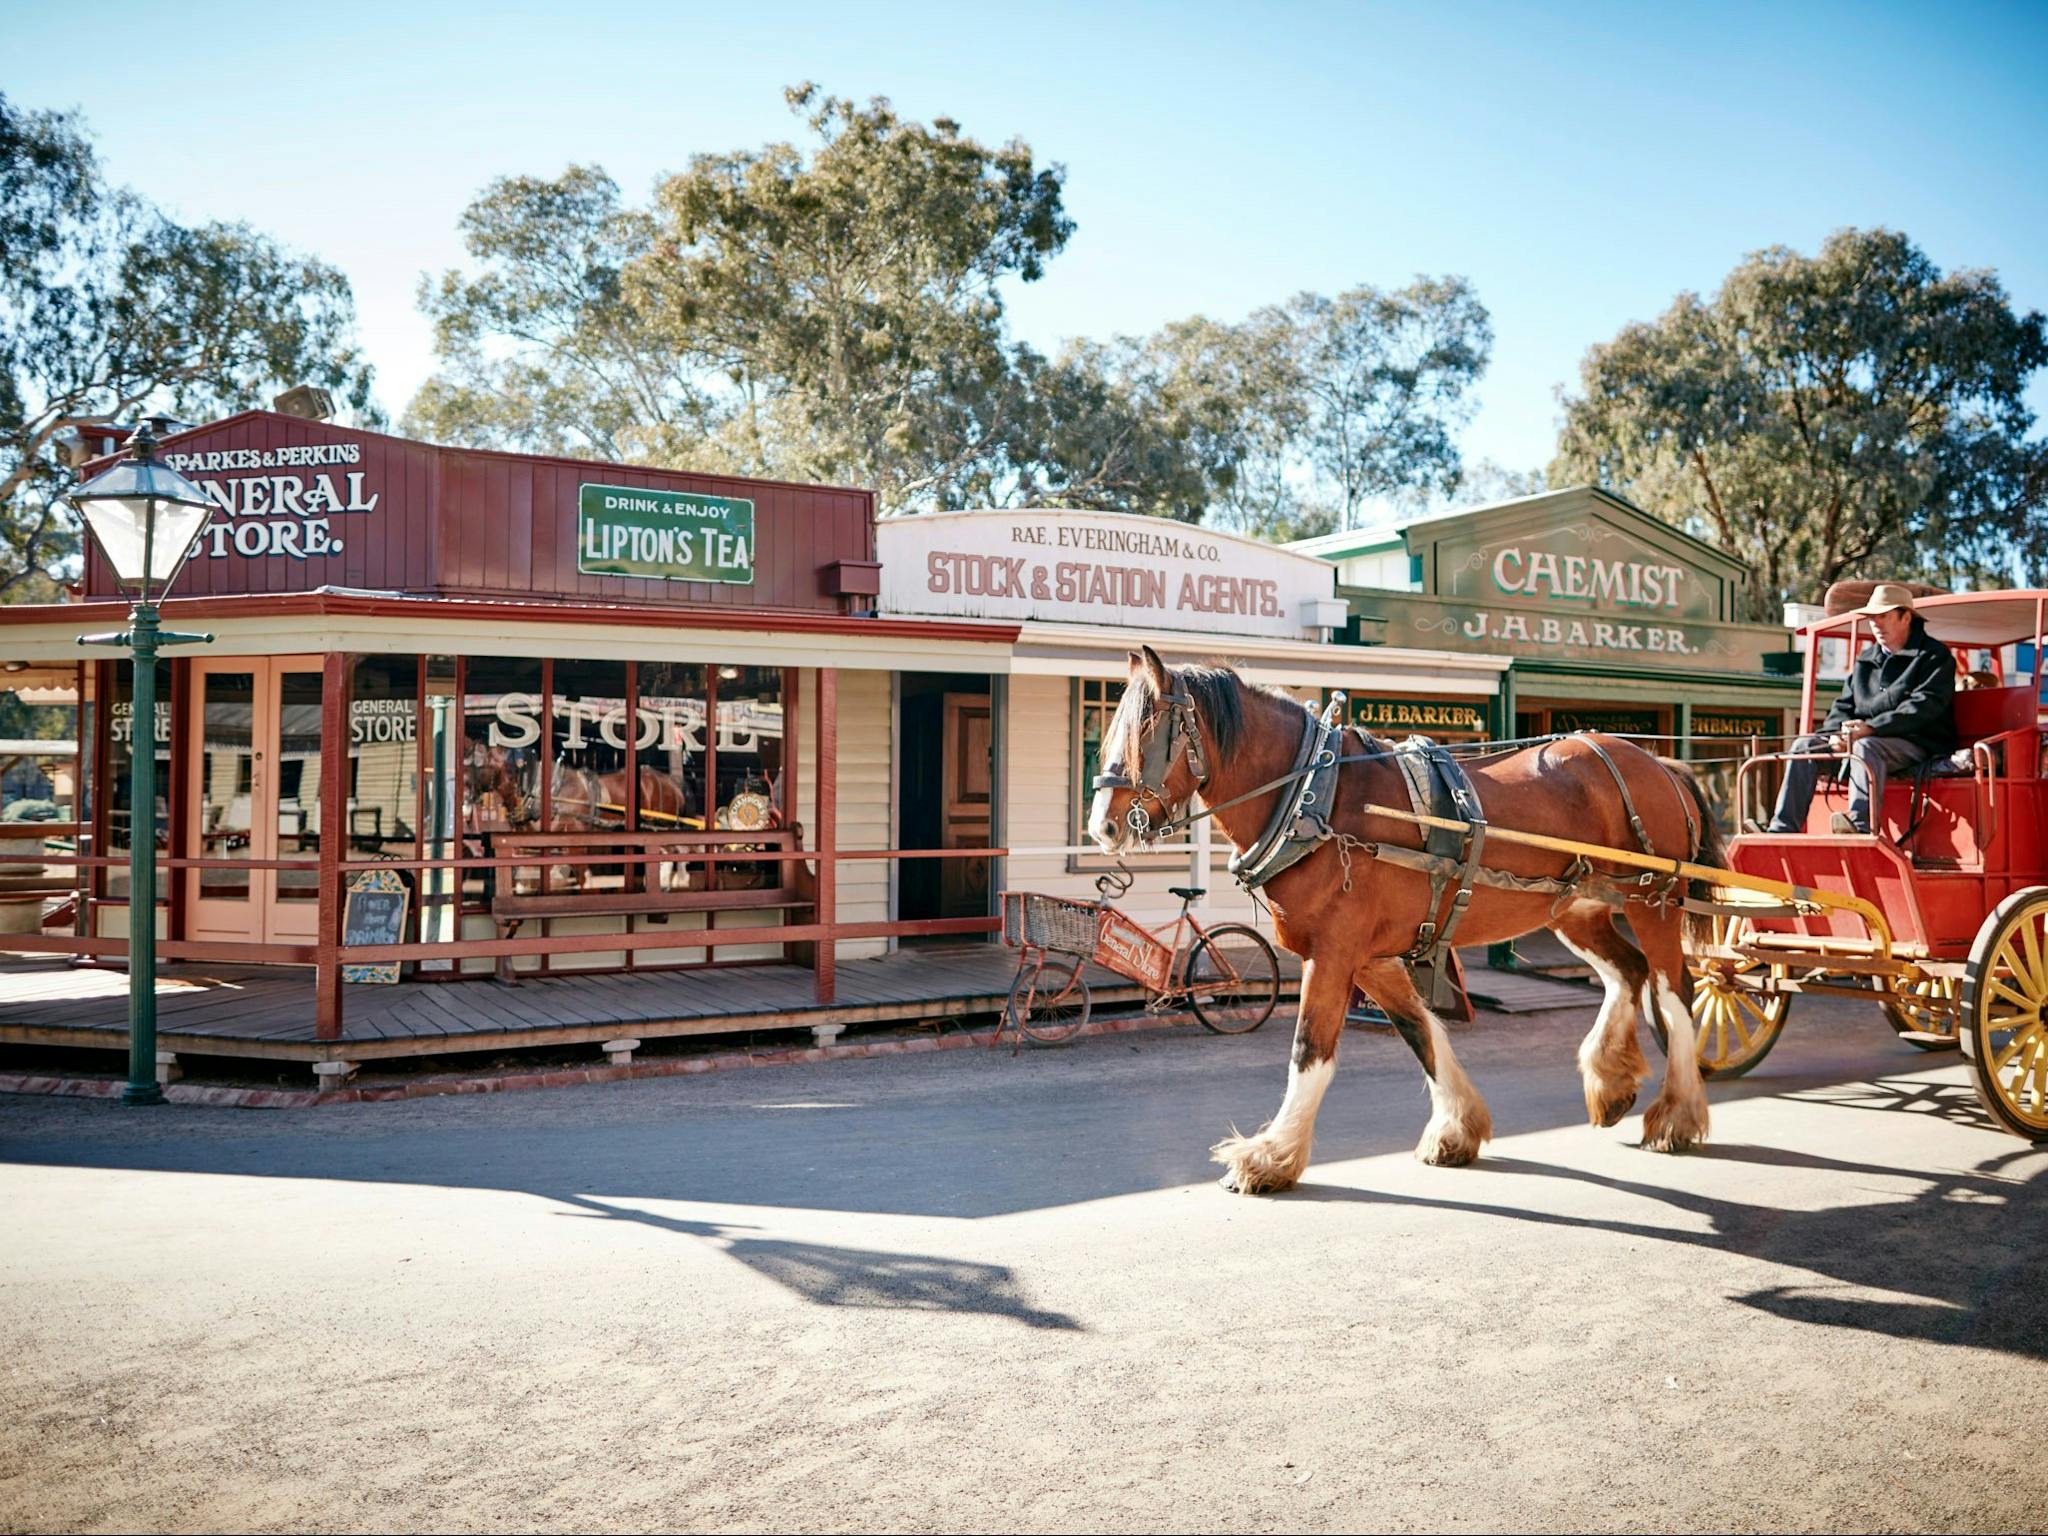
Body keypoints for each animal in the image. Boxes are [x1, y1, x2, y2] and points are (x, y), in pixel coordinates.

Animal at [1089, 643, 1728, 1196]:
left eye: (1149, 730)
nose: (1103, 826)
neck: (1314, 796)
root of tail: (1658, 762)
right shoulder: (1371, 956)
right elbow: (1420, 1030)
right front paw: (1457, 1128)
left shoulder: (1335, 952)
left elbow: (1310, 1051)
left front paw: (1271, 1156)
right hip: (1579, 908)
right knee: (1628, 973)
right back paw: (1611, 1080)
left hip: (1654, 902)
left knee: (1676, 991)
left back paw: (1677, 1115)